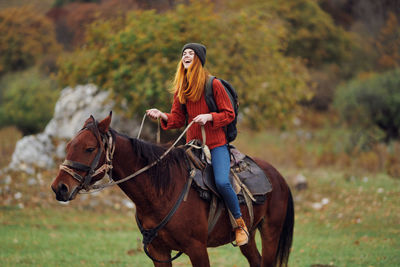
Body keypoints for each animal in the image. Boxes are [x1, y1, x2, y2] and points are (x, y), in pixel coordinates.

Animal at [51, 113, 294, 267]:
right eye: (69, 145)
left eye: (89, 148)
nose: (59, 187)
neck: (161, 192)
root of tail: (278, 177)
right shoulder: (159, 251)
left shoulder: (197, 249)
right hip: (249, 237)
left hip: (270, 233)